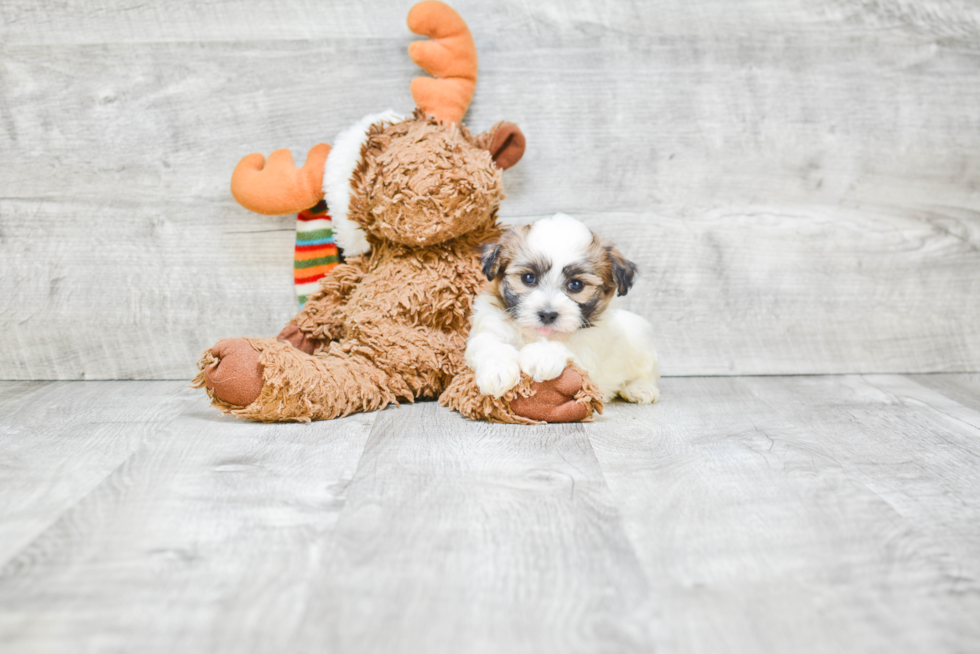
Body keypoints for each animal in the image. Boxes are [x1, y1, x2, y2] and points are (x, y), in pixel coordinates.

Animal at [466, 215, 660, 404]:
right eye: (528, 278)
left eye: (576, 285)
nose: (547, 314)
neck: (537, 336)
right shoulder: (489, 327)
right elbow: (490, 344)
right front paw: (497, 371)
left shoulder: (590, 353)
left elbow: (570, 350)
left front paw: (541, 355)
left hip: (641, 345)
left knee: (646, 374)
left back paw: (639, 388)